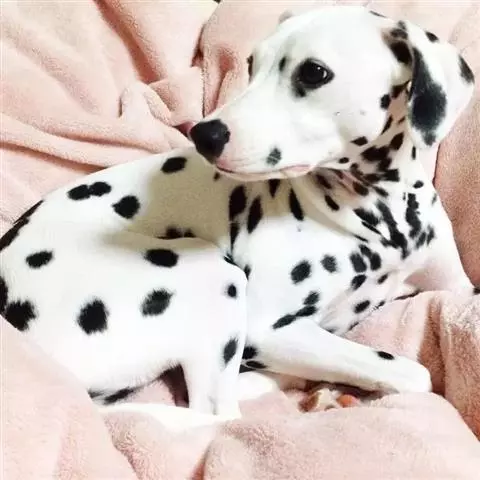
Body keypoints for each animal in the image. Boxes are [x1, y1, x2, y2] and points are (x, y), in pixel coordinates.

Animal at [0, 7, 476, 429]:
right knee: (216, 416)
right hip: (211, 274)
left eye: (314, 72)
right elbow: (412, 373)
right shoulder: (267, 327)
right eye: (252, 64)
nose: (204, 134)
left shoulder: (456, 287)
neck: (384, 218)